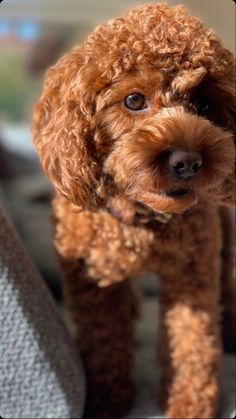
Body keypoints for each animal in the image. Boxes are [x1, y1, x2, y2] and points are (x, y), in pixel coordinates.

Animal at [32, 4, 235, 419]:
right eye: (134, 101)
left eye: (204, 105)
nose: (188, 162)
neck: (143, 220)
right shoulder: (92, 280)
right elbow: (104, 340)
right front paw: (107, 400)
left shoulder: (192, 273)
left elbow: (192, 341)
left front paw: (189, 404)